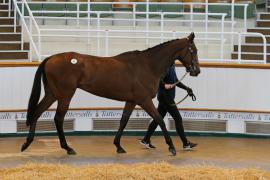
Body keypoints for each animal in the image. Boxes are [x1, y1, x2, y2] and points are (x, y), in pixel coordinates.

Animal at [21, 32, 199, 156]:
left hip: (52, 94)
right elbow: (160, 120)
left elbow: (123, 121)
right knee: (58, 118)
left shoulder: (132, 101)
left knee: (37, 112)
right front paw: (171, 147)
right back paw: (67, 148)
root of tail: (50, 58)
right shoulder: (144, 100)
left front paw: (118, 146)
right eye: (193, 50)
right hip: (64, 96)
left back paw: (27, 144)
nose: (197, 71)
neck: (148, 65)